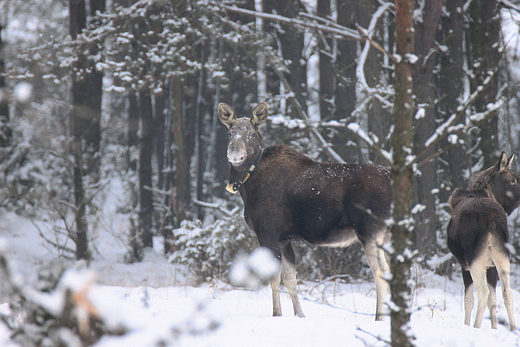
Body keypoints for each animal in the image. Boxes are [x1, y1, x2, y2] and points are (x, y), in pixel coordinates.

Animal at [217, 102, 392, 322]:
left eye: (252, 134)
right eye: (230, 132)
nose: (235, 154)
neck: (247, 186)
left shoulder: (267, 231)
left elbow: (274, 277)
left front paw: (276, 314)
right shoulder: (284, 238)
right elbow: (291, 279)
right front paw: (299, 315)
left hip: (370, 231)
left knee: (382, 273)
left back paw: (379, 317)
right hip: (386, 235)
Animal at [446, 153, 520, 332]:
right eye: (512, 180)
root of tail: (492, 219)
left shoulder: (464, 263)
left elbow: (468, 300)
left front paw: (467, 325)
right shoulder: (490, 264)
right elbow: (493, 299)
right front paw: (494, 328)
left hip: (473, 254)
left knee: (482, 292)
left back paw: (476, 326)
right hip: (502, 252)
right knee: (507, 292)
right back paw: (513, 329)